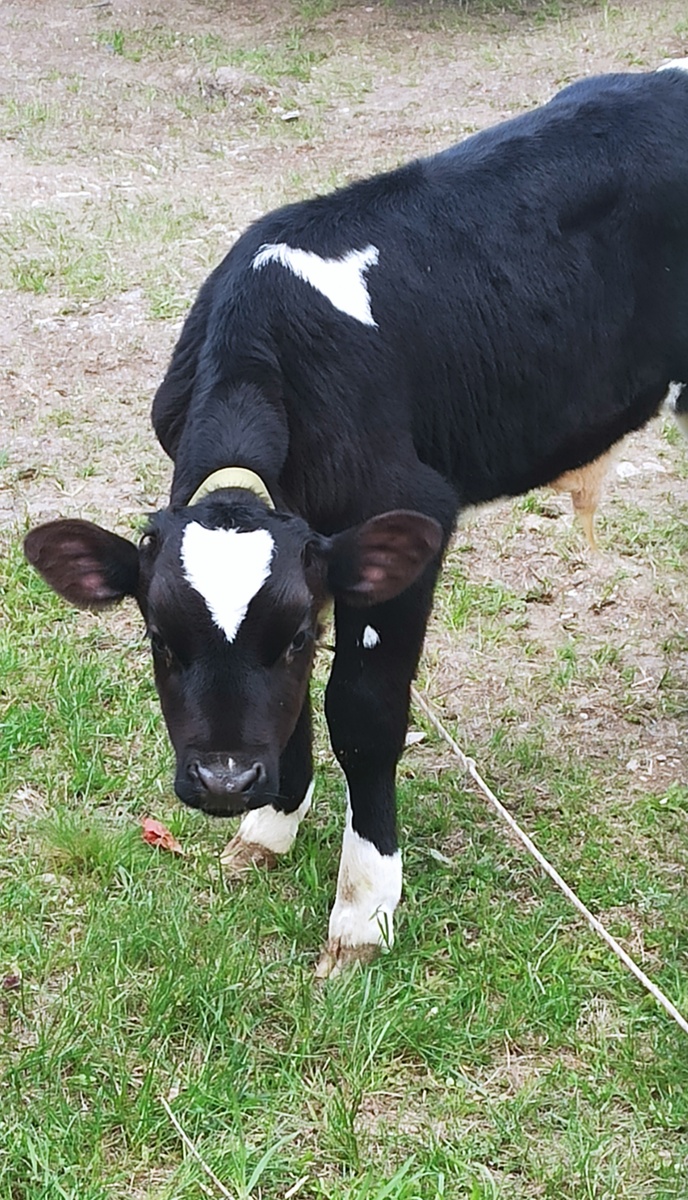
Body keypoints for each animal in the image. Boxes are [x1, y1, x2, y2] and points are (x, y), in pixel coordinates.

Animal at [24, 63, 686, 974]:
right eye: (159, 638)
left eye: (297, 636)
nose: (227, 780)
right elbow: (300, 705)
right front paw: (270, 826)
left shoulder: (406, 519)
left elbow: (364, 715)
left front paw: (363, 908)